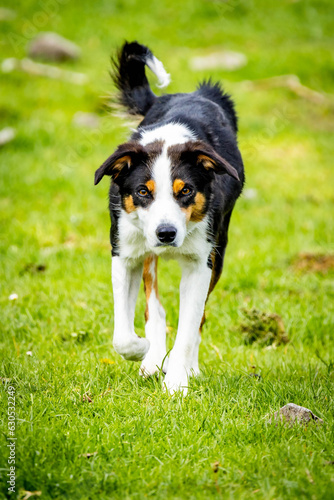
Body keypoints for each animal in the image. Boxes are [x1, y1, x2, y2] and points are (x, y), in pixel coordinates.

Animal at [95, 42, 244, 394]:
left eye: (186, 190)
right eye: (143, 191)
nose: (166, 234)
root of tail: (195, 93)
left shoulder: (202, 262)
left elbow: (190, 327)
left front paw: (178, 379)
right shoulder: (125, 252)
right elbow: (123, 336)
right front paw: (143, 351)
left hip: (219, 249)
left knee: (198, 318)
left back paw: (186, 367)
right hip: (146, 252)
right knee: (155, 306)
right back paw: (151, 359)